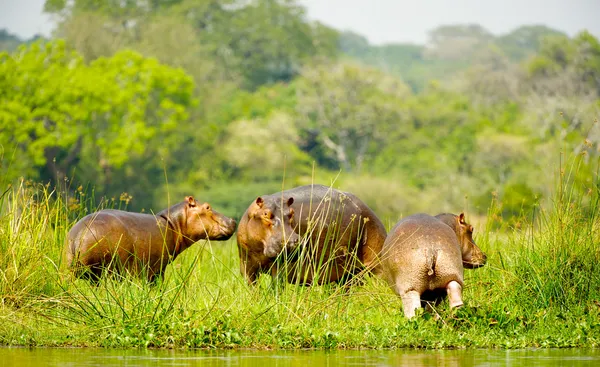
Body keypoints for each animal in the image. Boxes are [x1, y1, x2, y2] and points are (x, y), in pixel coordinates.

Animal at [63, 197, 237, 284]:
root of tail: (79, 235)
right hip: (109, 269)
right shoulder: (157, 268)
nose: (233, 220)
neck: (175, 223)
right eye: (207, 207)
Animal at [237, 185, 386, 286]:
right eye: (265, 214)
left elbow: (277, 286)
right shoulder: (246, 265)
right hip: (348, 272)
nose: (292, 242)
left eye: (292, 213)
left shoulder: (279, 267)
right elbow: (251, 286)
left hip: (376, 261)